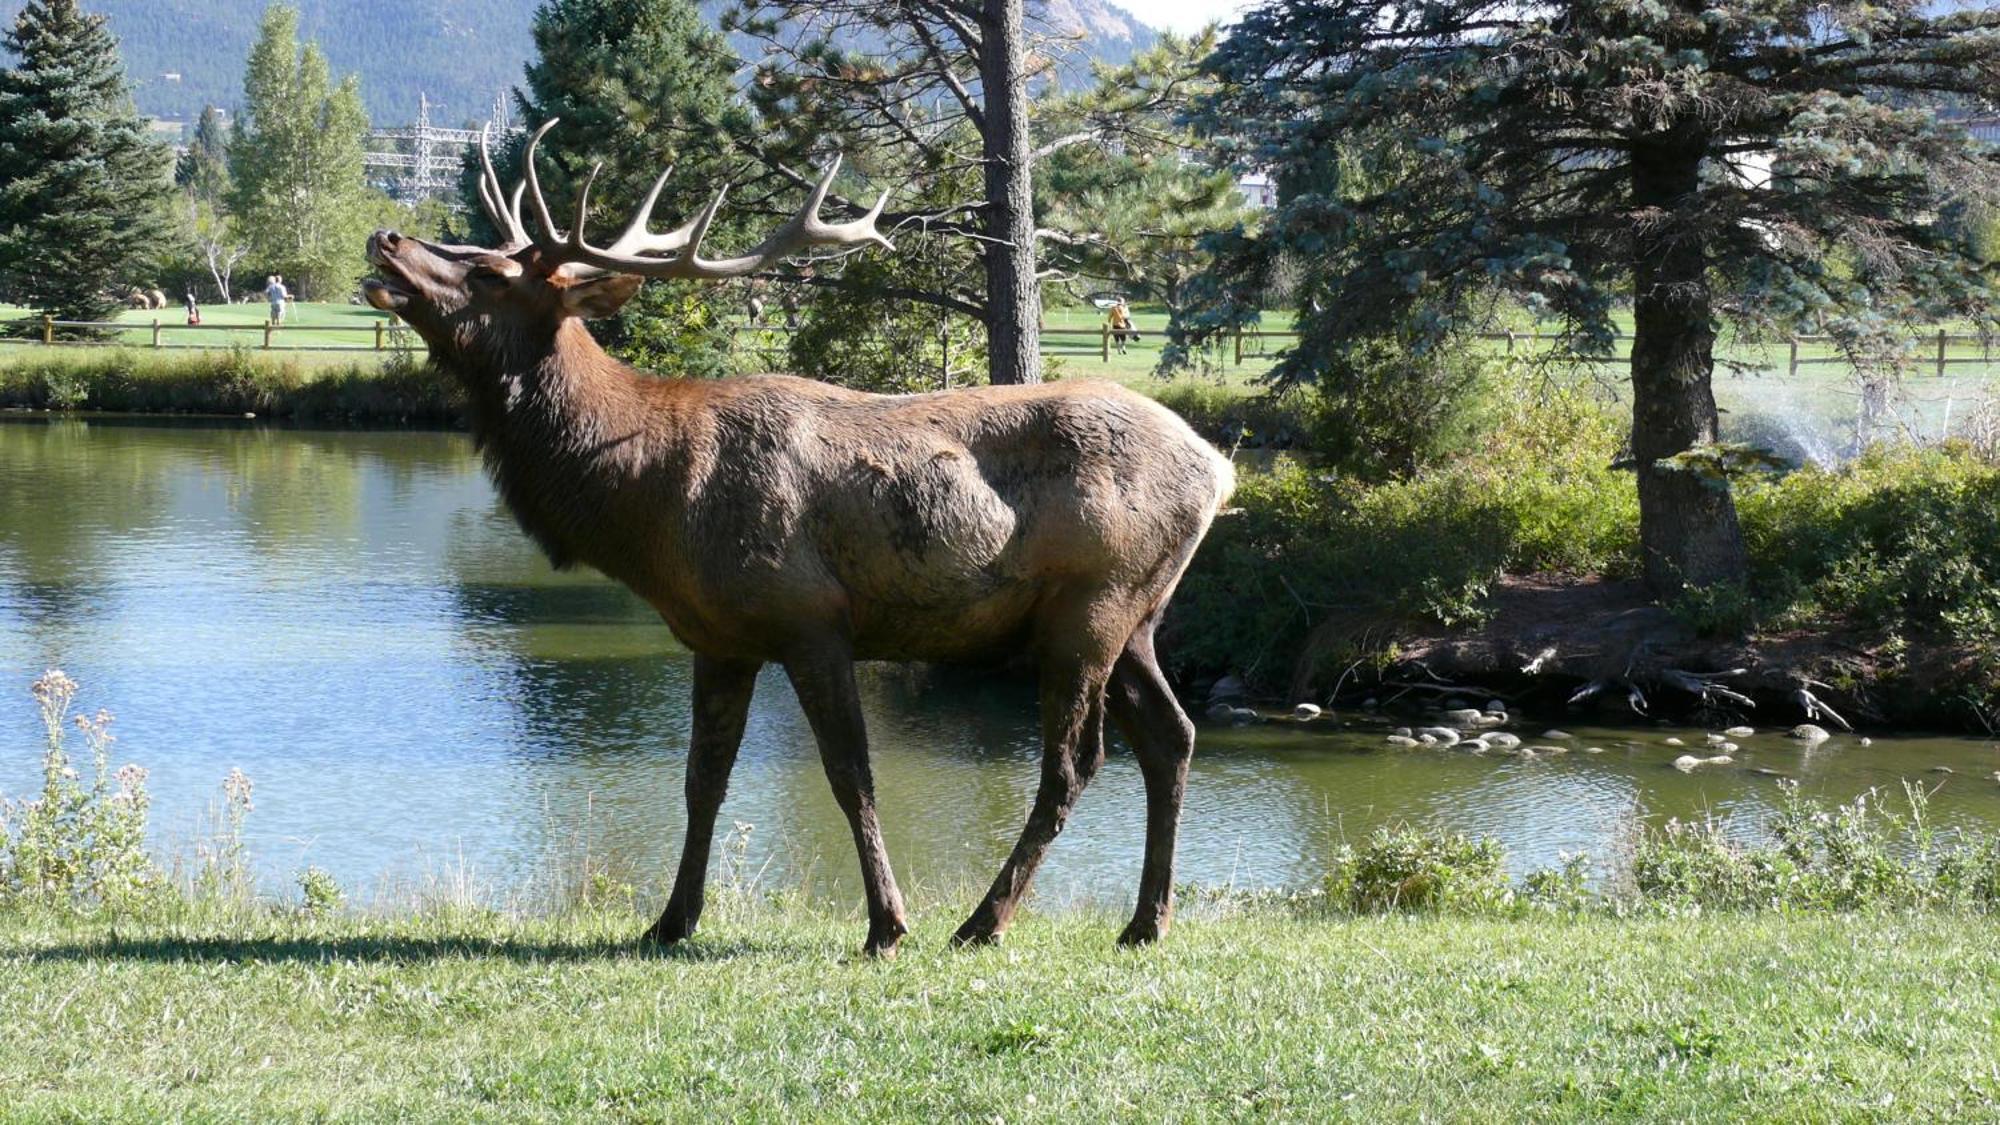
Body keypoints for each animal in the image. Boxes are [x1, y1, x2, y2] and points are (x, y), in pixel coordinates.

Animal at [364, 122, 1232, 948]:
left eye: (489, 272)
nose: (386, 237)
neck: (647, 494)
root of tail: (1218, 468)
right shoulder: (719, 636)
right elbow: (702, 779)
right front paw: (671, 919)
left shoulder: (811, 616)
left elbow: (851, 773)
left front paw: (887, 923)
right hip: (1136, 618)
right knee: (1173, 736)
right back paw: (1145, 920)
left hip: (1093, 604)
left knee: (1074, 763)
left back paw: (984, 920)